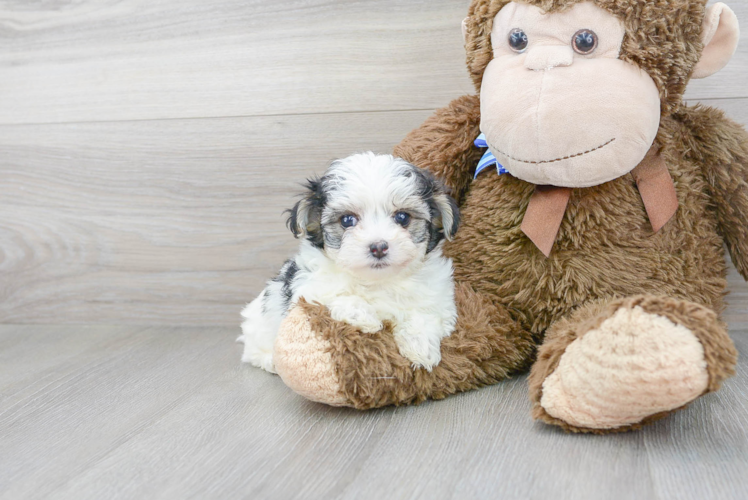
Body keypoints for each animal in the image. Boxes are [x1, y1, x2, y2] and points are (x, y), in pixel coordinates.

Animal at [240, 152, 462, 376]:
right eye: (347, 220)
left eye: (402, 217)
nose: (378, 247)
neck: (378, 281)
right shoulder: (307, 290)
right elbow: (334, 296)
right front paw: (364, 316)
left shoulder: (439, 299)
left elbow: (425, 315)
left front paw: (421, 346)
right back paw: (270, 361)